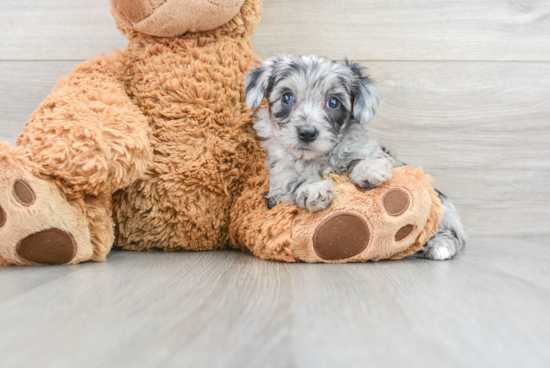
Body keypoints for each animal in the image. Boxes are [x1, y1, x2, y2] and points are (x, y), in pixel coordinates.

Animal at [246, 54, 466, 262]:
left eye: (333, 102)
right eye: (287, 97)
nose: (307, 133)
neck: (318, 158)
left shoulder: (371, 152)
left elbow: (358, 157)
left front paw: (368, 168)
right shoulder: (279, 180)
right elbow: (294, 180)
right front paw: (314, 189)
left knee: (451, 234)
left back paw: (439, 247)